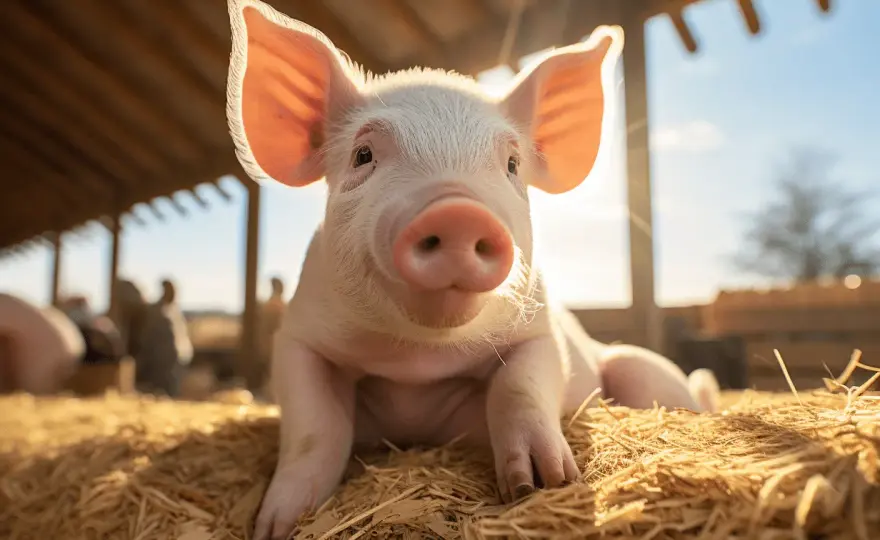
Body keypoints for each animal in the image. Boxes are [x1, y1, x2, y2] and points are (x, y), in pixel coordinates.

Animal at [225, 1, 722, 538]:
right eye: (363, 155)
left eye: (512, 164)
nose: (457, 211)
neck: (415, 366)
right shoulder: (299, 339)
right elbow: (313, 429)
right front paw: (276, 523)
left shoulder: (540, 334)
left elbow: (519, 388)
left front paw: (542, 484)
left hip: (643, 371)